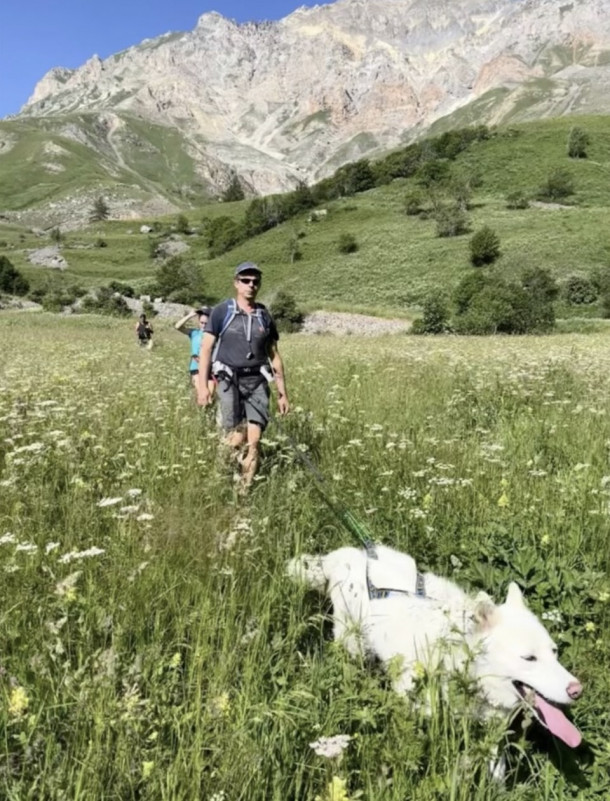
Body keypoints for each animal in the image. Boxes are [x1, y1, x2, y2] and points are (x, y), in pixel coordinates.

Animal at [288, 540, 580, 752]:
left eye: (554, 652)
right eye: (529, 658)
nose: (577, 690)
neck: (452, 658)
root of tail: (349, 555)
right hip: (353, 644)